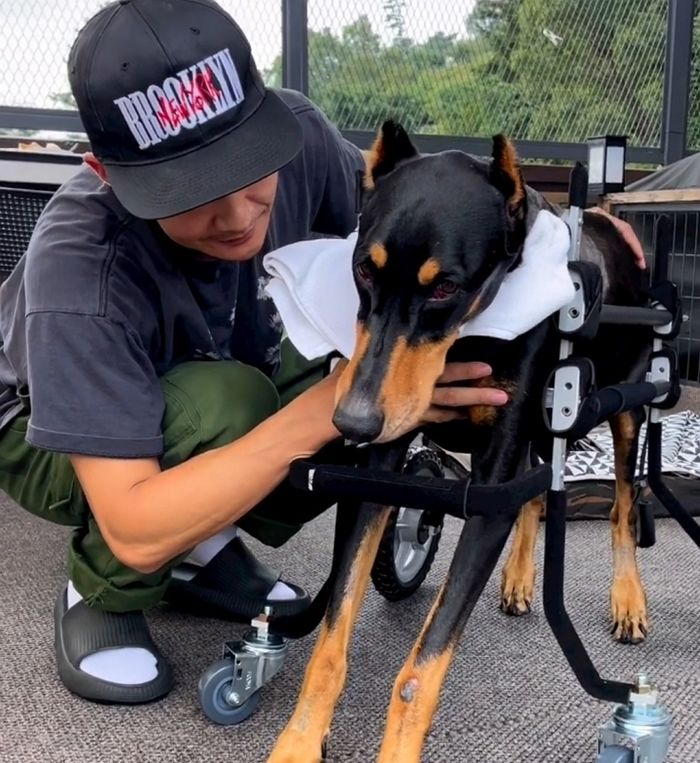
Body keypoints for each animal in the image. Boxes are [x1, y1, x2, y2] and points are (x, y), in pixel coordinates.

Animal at [266, 122, 652, 760]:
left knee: (622, 505)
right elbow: (330, 637)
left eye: (446, 285)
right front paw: (298, 742)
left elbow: (420, 669)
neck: (471, 335)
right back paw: (519, 578)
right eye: (364, 270)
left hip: (624, 409)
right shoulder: (384, 465)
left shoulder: (491, 478)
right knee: (536, 495)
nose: (352, 422)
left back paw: (627, 598)